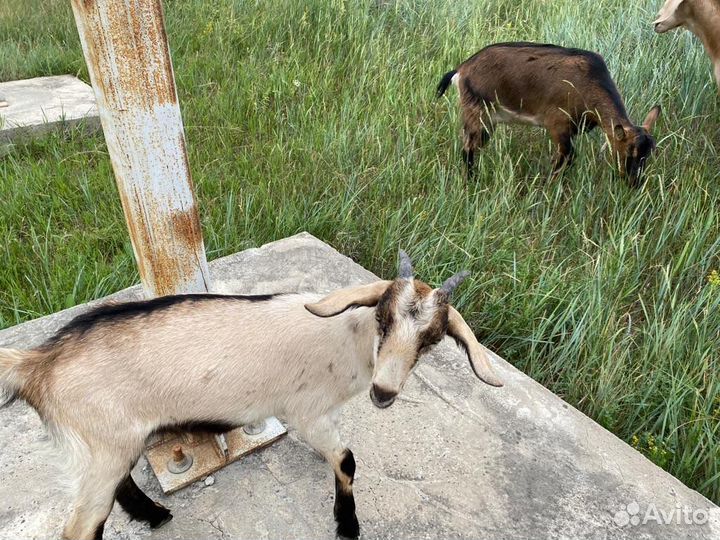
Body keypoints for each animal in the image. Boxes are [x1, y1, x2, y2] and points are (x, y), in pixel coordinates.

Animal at [0, 251, 503, 540]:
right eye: (382, 317)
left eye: (432, 339)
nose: (384, 391)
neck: (347, 338)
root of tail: (37, 363)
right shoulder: (306, 411)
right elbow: (347, 460)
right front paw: (347, 524)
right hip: (101, 445)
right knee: (81, 526)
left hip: (109, 446)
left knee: (119, 484)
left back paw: (155, 516)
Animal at [437, 42, 662, 186]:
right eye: (629, 154)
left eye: (648, 155)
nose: (634, 183)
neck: (588, 81)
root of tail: (461, 69)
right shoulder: (558, 125)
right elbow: (566, 157)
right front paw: (549, 187)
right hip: (477, 113)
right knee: (468, 148)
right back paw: (471, 182)